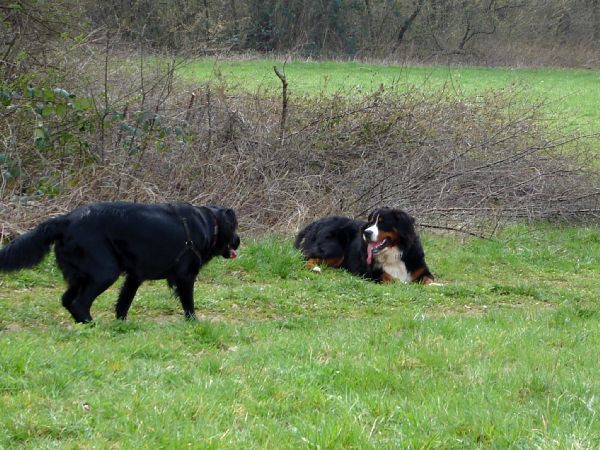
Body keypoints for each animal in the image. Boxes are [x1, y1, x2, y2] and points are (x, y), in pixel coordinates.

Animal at [0, 202, 239, 322]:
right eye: (235, 228)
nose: (239, 241)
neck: (209, 223)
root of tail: (66, 220)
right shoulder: (185, 275)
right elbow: (189, 303)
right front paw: (194, 322)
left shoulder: (134, 277)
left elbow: (124, 302)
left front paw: (122, 324)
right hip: (105, 272)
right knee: (79, 302)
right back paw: (90, 324)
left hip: (81, 274)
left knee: (67, 299)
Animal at [294, 206, 432, 284]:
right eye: (370, 222)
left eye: (382, 223)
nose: (366, 233)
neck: (395, 251)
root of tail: (318, 221)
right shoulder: (376, 274)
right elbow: (395, 280)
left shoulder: (422, 270)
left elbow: (429, 280)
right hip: (334, 250)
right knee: (307, 258)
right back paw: (315, 268)